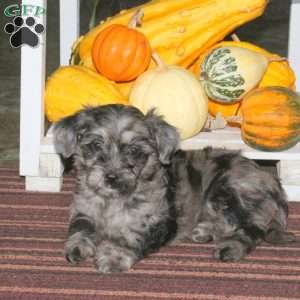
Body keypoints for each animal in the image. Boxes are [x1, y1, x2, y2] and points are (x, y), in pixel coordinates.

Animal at [54, 104, 296, 274]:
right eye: (96, 145)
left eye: (134, 150)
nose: (110, 178)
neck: (113, 200)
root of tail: (273, 182)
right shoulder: (84, 210)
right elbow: (80, 227)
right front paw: (77, 246)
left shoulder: (158, 222)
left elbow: (132, 237)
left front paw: (114, 256)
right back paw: (204, 232)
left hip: (227, 188)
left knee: (252, 228)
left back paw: (231, 248)